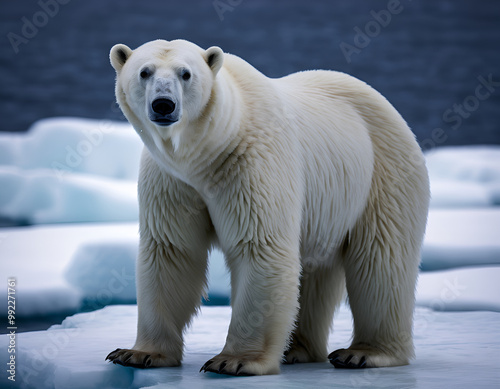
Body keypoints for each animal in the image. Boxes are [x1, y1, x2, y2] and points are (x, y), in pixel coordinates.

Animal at [105, 38, 430, 374]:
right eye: (144, 72)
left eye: (186, 74)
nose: (163, 105)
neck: (208, 153)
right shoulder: (171, 180)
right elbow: (171, 251)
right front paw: (138, 354)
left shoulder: (250, 162)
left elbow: (259, 246)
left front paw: (234, 360)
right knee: (313, 272)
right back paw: (297, 349)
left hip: (382, 172)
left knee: (381, 260)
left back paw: (363, 353)